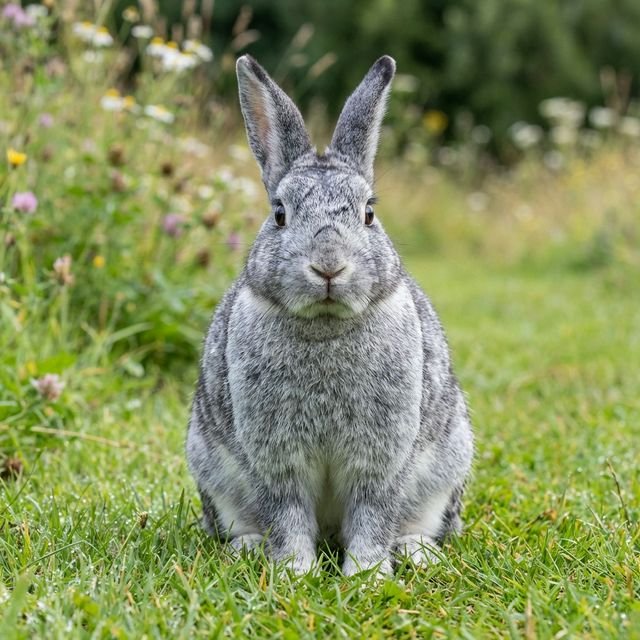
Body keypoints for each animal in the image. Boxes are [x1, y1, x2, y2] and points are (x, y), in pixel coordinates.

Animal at [186, 54, 474, 576]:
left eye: (369, 215)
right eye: (279, 214)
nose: (328, 265)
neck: (325, 325)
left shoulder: (381, 460)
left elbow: (373, 514)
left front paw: (366, 576)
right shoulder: (276, 460)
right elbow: (287, 514)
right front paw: (293, 571)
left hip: (448, 466)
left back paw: (417, 552)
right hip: (210, 468)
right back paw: (248, 547)